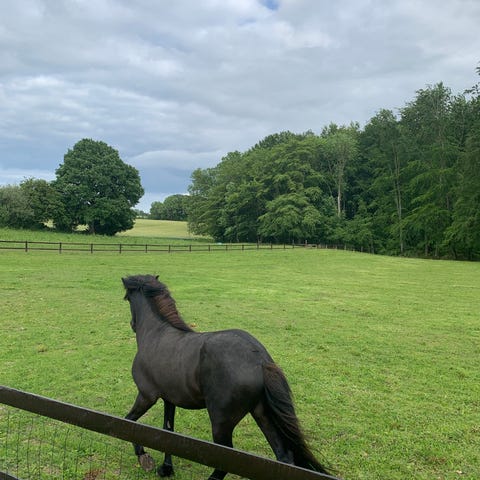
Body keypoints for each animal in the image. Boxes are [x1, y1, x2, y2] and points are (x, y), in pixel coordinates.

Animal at [122, 274, 331, 480]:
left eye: (127, 298)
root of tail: (259, 359)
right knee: (283, 457)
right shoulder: (169, 399)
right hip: (261, 413)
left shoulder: (147, 396)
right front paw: (166, 468)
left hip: (221, 422)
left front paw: (144, 456)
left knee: (225, 459)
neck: (156, 334)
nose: (132, 325)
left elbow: (129, 421)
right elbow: (167, 432)